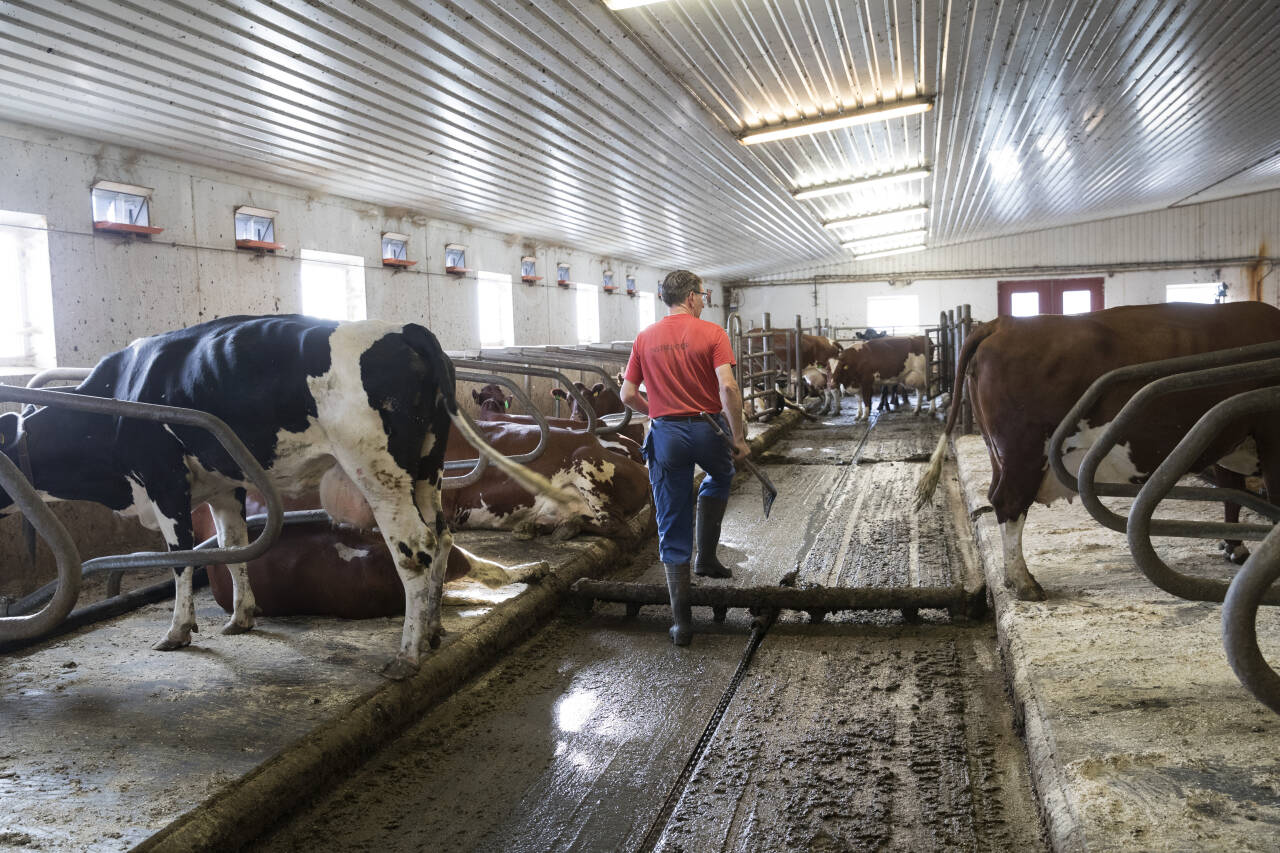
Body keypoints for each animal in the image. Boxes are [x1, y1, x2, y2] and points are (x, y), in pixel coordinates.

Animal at [0, 313, 570, 676]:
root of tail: (407, 330)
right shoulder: (223, 486)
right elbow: (231, 550)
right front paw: (240, 618)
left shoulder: (163, 483)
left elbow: (182, 560)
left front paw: (179, 631)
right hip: (425, 469)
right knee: (443, 538)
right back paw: (431, 633)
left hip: (377, 471)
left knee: (417, 551)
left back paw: (409, 654)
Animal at [916, 302, 1280, 601]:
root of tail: (1004, 323)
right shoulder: (1268, 431)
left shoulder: (1229, 432)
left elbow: (1232, 493)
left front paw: (1234, 547)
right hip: (1024, 450)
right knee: (1009, 501)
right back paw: (1024, 583)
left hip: (1001, 453)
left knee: (999, 498)